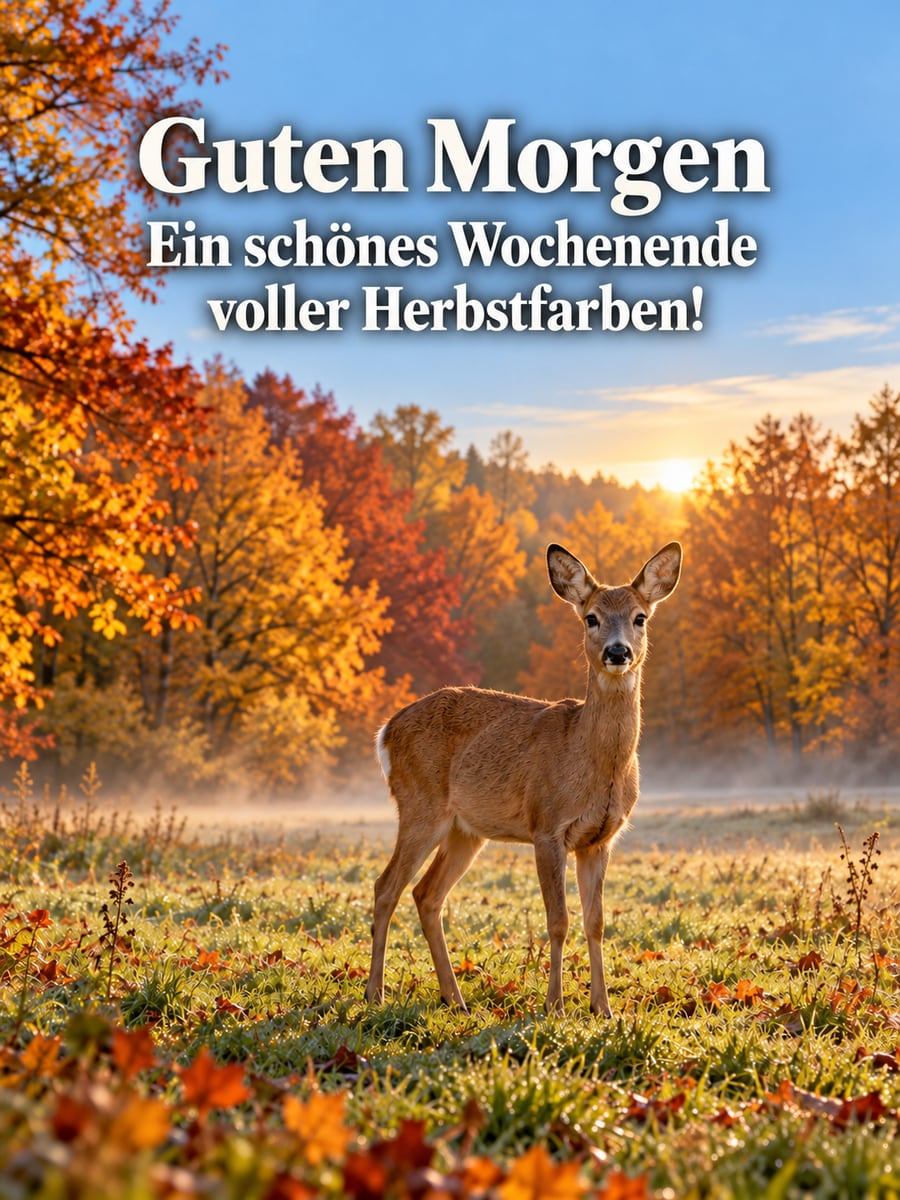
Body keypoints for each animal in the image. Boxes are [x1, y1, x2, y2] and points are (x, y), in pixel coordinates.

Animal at [365, 540, 682, 1017]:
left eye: (640, 617)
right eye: (590, 617)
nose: (618, 652)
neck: (591, 762)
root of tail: (386, 731)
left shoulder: (600, 838)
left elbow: (596, 922)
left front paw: (602, 1008)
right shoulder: (546, 825)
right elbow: (559, 920)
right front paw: (555, 1005)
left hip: (465, 830)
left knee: (426, 894)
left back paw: (455, 998)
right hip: (420, 803)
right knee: (386, 887)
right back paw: (375, 993)